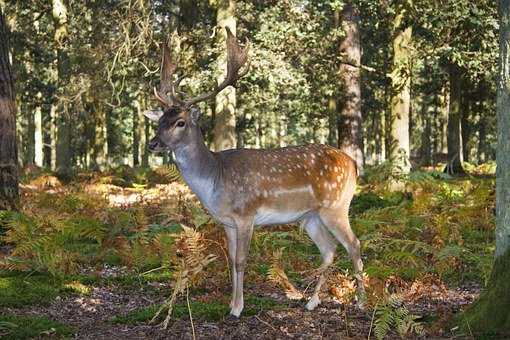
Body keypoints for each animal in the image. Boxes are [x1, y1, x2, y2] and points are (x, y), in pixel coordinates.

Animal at [145, 27, 364, 318]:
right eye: (159, 121)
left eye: (180, 122)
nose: (153, 143)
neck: (215, 178)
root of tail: (353, 164)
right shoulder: (226, 221)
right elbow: (229, 259)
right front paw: (231, 303)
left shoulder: (245, 215)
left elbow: (240, 261)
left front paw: (237, 308)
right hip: (310, 216)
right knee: (329, 249)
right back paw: (311, 301)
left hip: (336, 205)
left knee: (353, 244)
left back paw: (361, 301)